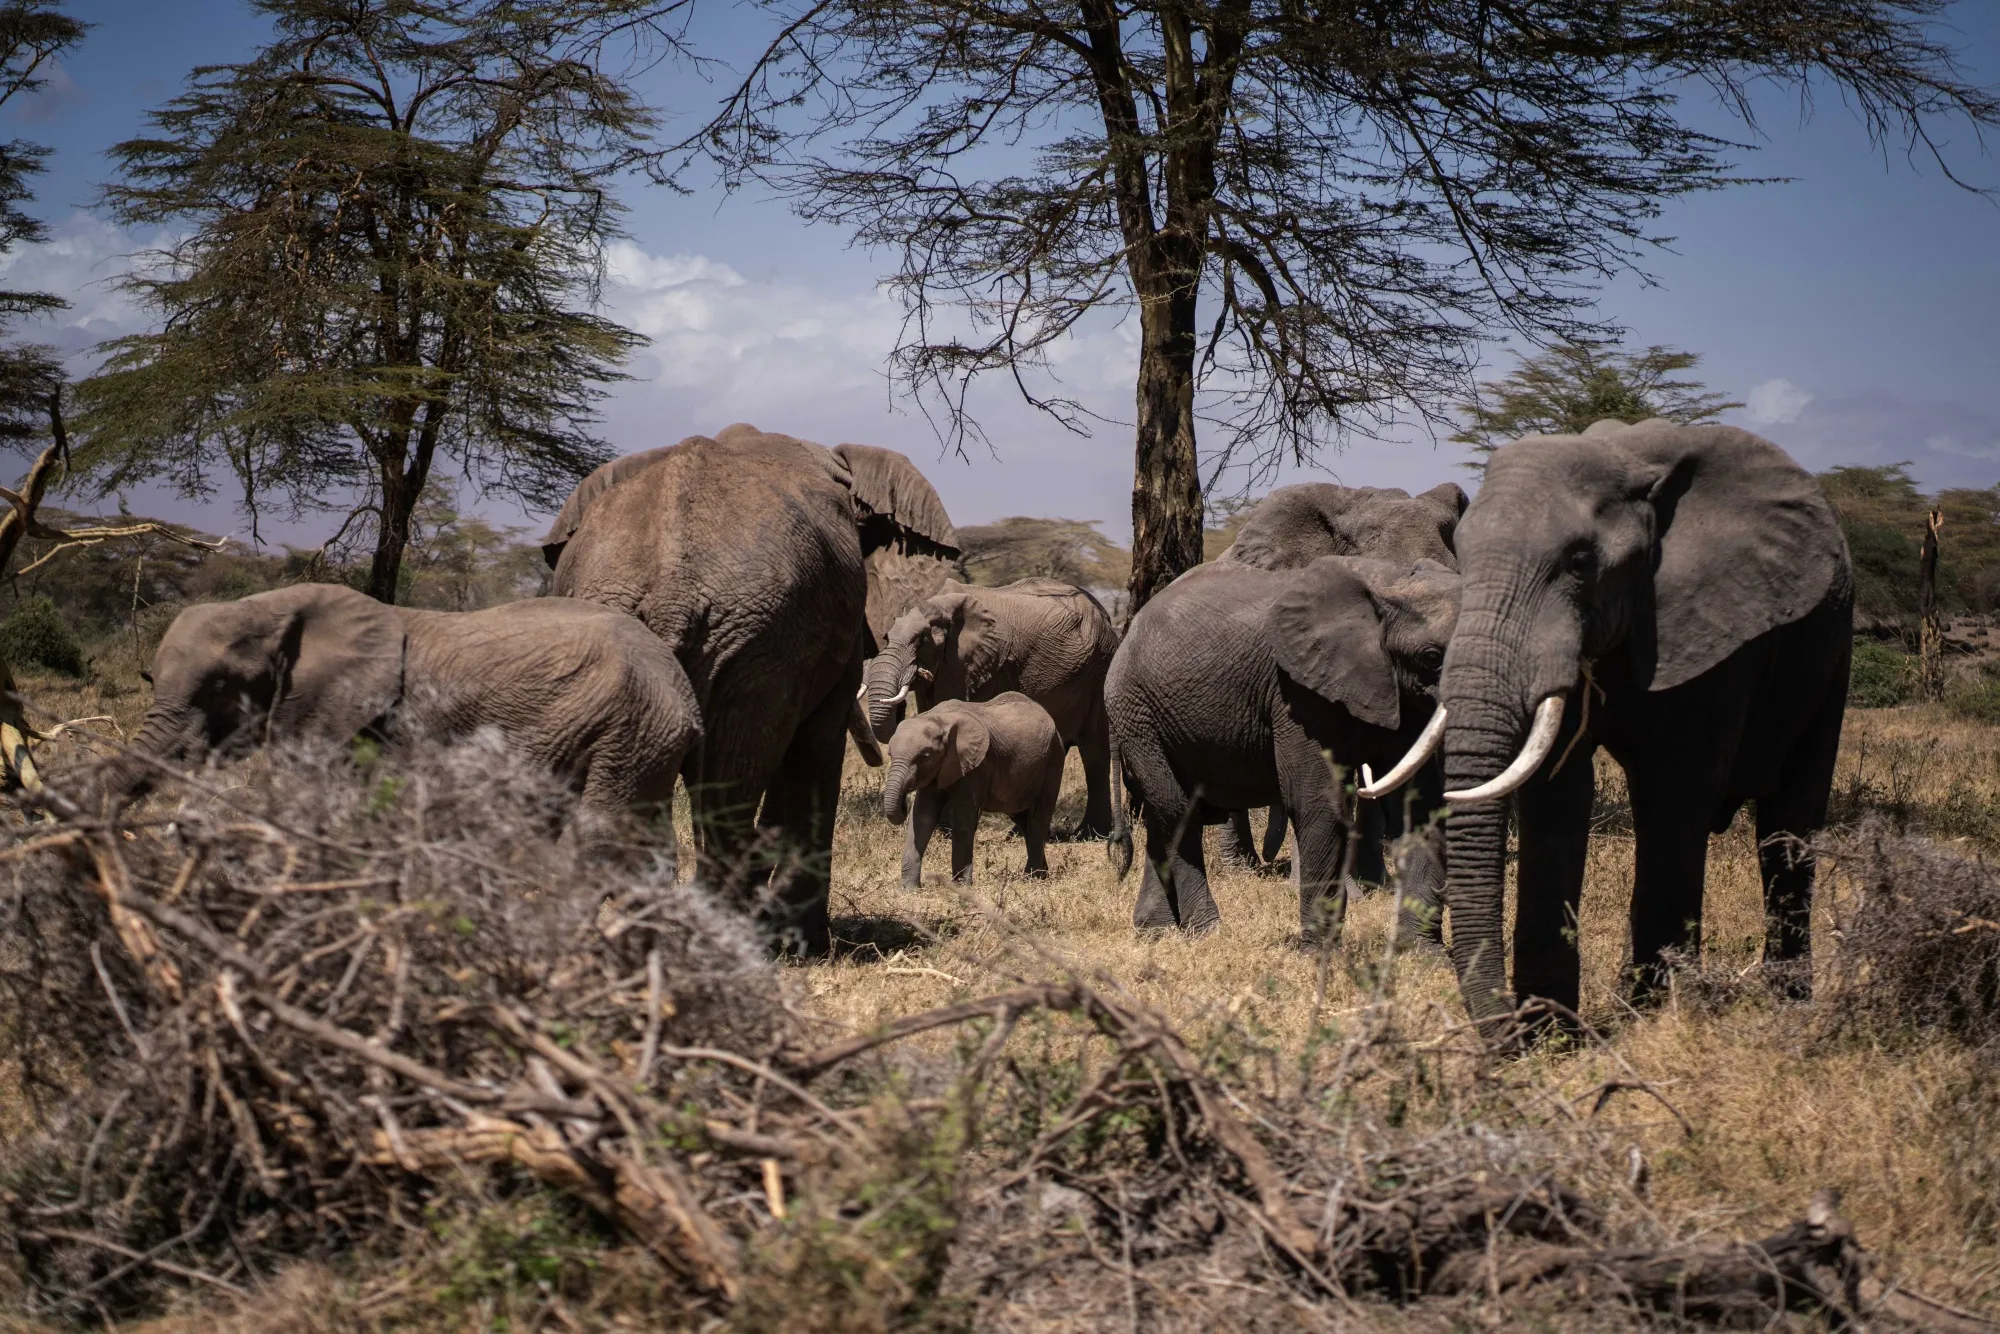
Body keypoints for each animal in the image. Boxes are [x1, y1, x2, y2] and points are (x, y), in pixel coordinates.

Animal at [110, 584, 700, 850]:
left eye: (220, 688)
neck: (273, 605)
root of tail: (683, 690)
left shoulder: (357, 721)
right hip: (643, 743)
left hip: (630, 731)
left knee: (592, 842)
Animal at [861, 578, 1119, 838]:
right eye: (886, 638)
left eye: (922, 641)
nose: (903, 806)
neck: (938, 606)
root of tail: (1105, 616)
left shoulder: (985, 667)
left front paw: (946, 831)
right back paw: (1020, 832)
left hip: (1100, 669)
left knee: (1094, 751)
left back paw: (1091, 833)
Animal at [881, 692, 1066, 886]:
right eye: (890, 754)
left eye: (925, 755)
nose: (903, 802)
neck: (939, 719)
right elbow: (922, 816)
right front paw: (909, 889)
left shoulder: (979, 765)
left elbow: (963, 816)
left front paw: (961, 886)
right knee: (1023, 819)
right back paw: (1041, 875)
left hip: (1054, 758)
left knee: (1039, 816)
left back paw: (1033, 878)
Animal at [1106, 555, 1460, 943]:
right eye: (1431, 657)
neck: (1390, 583)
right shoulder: (1296, 693)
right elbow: (1319, 801)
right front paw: (1318, 951)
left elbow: (1419, 801)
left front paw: (1422, 951)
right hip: (1137, 714)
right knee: (1178, 812)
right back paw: (1207, 932)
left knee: (1162, 816)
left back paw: (1155, 932)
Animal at [1365, 418, 1853, 1033]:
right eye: (1463, 556)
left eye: (1579, 563)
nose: (1504, 1033)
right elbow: (1558, 793)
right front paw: (1552, 1032)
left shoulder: (1714, 628)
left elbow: (1678, 790)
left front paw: (1646, 1017)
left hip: (1833, 647)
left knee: (1788, 821)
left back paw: (1785, 1002)